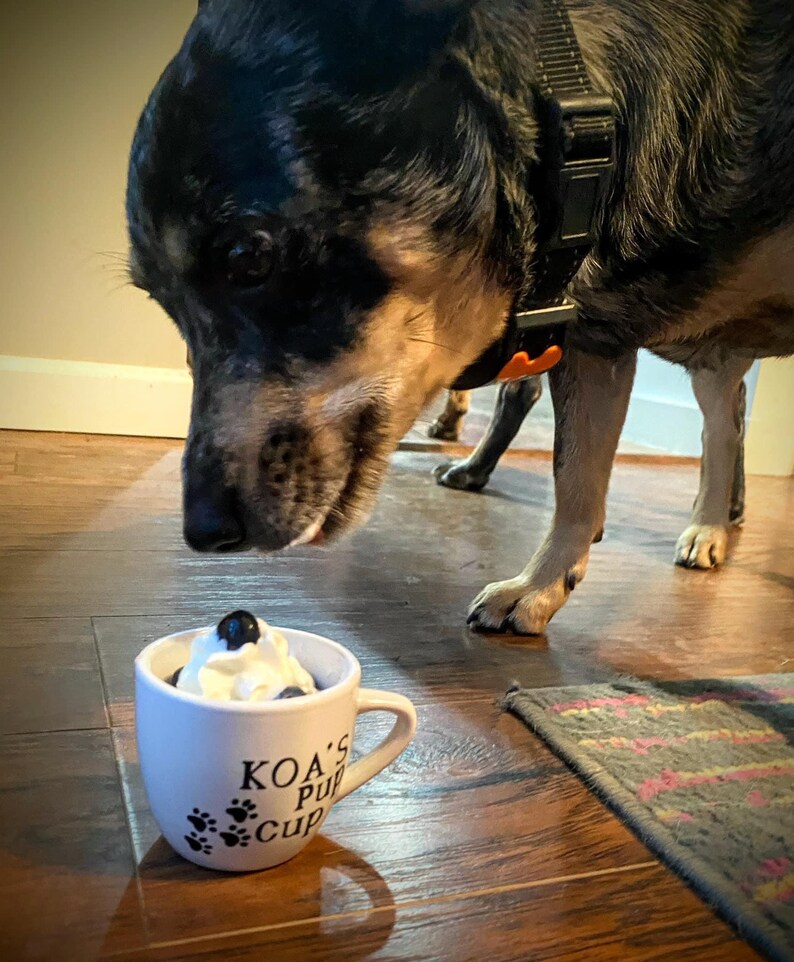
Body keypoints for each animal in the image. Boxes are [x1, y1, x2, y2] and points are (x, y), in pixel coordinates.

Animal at [127, 1, 788, 636]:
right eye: (160, 301)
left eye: (248, 256)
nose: (204, 533)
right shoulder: (590, 342)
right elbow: (576, 478)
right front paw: (539, 587)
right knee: (722, 420)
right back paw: (712, 521)